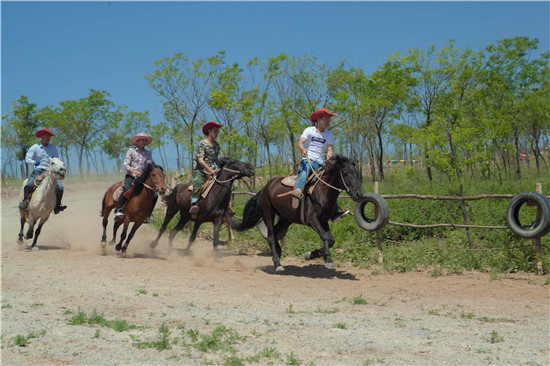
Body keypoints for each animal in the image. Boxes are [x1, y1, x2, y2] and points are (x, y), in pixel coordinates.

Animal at [230, 154, 364, 272]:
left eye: (357, 173)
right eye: (345, 173)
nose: (359, 194)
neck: (321, 191)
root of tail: (265, 188)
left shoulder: (323, 221)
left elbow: (330, 240)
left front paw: (311, 255)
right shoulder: (312, 220)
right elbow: (324, 237)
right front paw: (328, 260)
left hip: (286, 219)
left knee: (275, 233)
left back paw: (278, 253)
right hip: (269, 213)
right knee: (270, 236)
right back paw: (277, 264)